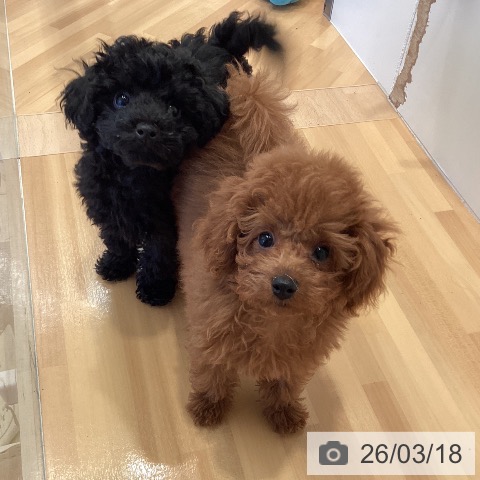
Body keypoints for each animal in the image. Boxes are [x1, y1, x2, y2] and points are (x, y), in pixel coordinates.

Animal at [59, 12, 280, 306]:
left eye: (175, 109)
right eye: (121, 99)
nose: (146, 129)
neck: (135, 174)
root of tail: (219, 42)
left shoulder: (166, 222)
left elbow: (159, 253)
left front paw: (156, 288)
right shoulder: (107, 204)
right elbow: (116, 236)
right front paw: (117, 264)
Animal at [173, 69, 398, 433]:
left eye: (322, 252)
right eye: (264, 239)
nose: (283, 284)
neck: (271, 320)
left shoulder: (297, 357)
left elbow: (284, 382)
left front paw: (283, 412)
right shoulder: (210, 337)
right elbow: (212, 373)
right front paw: (208, 407)